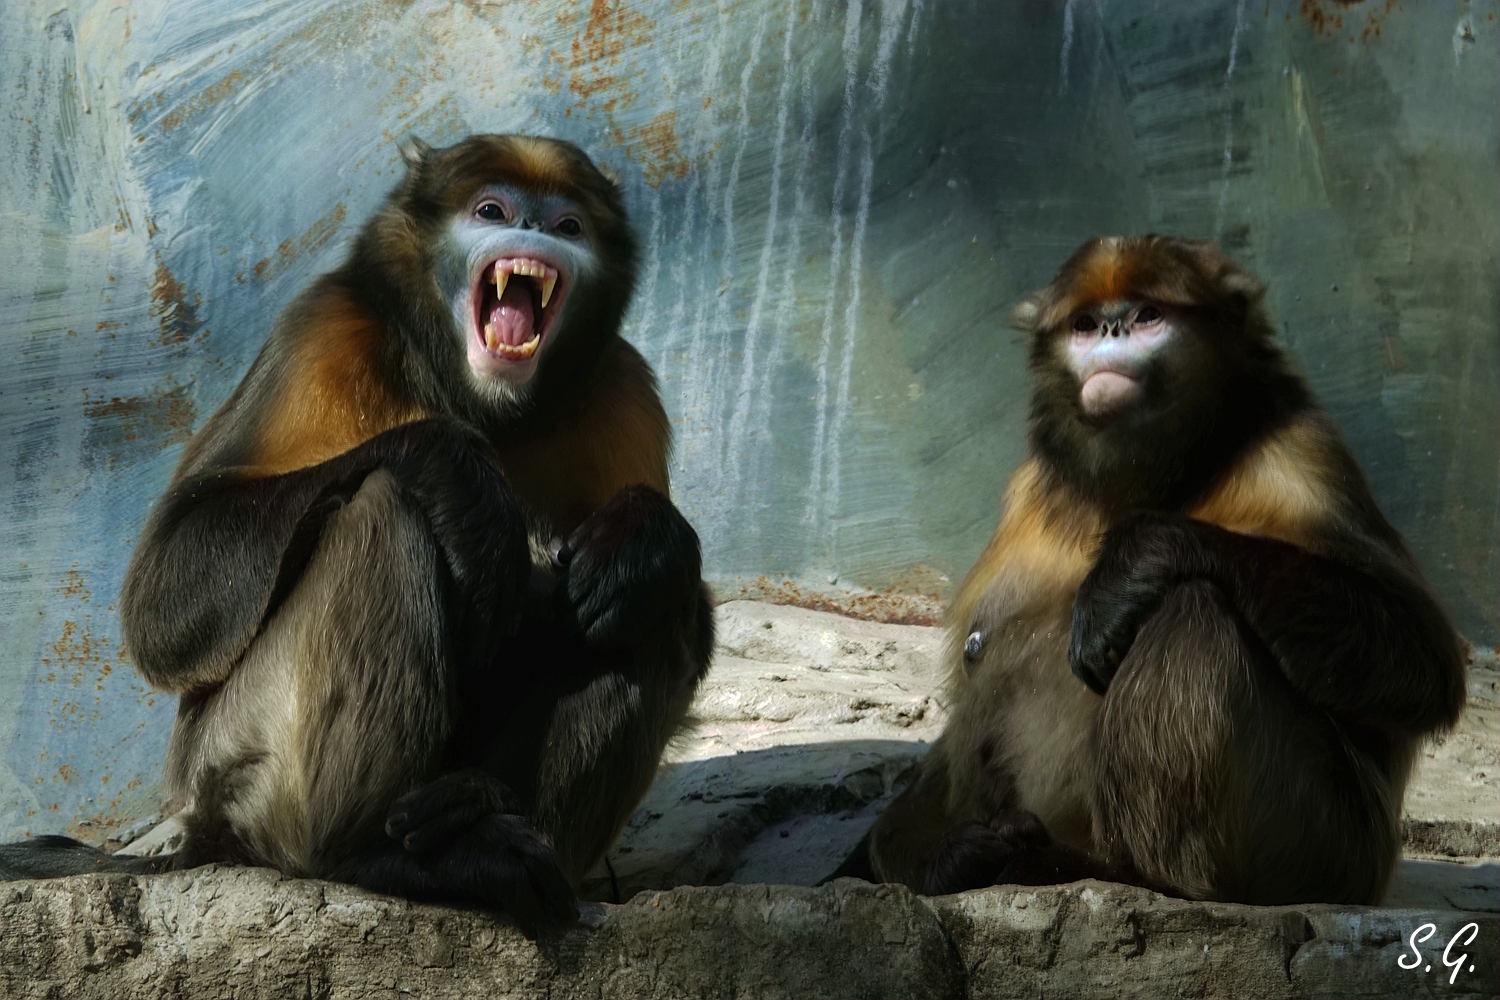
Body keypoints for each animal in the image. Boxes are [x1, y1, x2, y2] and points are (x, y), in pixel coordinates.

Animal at [0, 135, 714, 935]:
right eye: (492, 211)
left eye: (569, 226)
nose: (534, 229)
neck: (484, 403)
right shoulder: (324, 328)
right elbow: (161, 595)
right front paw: (450, 466)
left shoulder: (624, 389)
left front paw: (648, 537)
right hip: (238, 769)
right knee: (384, 505)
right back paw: (376, 855)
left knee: (644, 609)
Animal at [855, 235, 1466, 906]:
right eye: (1085, 324)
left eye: (1149, 315)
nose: (1113, 329)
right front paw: (942, 860)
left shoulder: (1300, 453)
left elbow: (1423, 661)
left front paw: (1134, 561)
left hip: (1332, 850)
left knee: (1193, 614)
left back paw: (1127, 875)